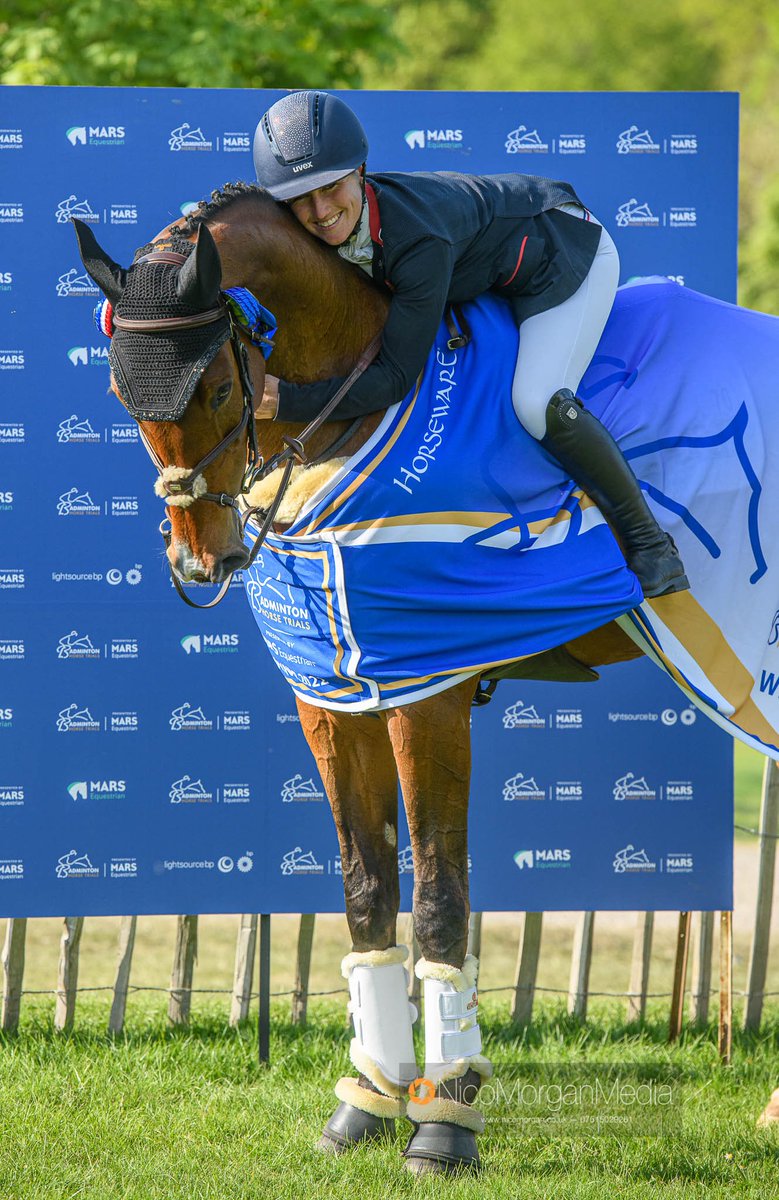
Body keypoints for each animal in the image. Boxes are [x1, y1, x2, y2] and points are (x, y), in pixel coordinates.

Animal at [72, 182, 772, 1171]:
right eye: (118, 394)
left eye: (218, 388)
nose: (201, 563)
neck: (352, 417)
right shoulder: (335, 693)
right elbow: (367, 894)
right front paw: (366, 1100)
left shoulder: (426, 692)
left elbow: (441, 899)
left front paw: (444, 1119)